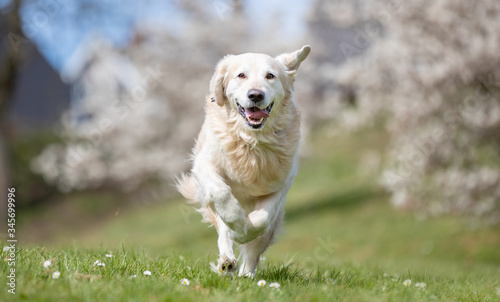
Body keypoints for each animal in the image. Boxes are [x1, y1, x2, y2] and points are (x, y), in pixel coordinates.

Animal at [178, 45, 310, 278]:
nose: (255, 95)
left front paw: (243, 232)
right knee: (223, 231)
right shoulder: (205, 165)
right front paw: (237, 224)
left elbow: (261, 219)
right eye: (241, 75)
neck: (251, 141)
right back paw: (227, 262)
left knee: (254, 249)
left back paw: (247, 275)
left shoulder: (280, 185)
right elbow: (222, 195)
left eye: (270, 76)